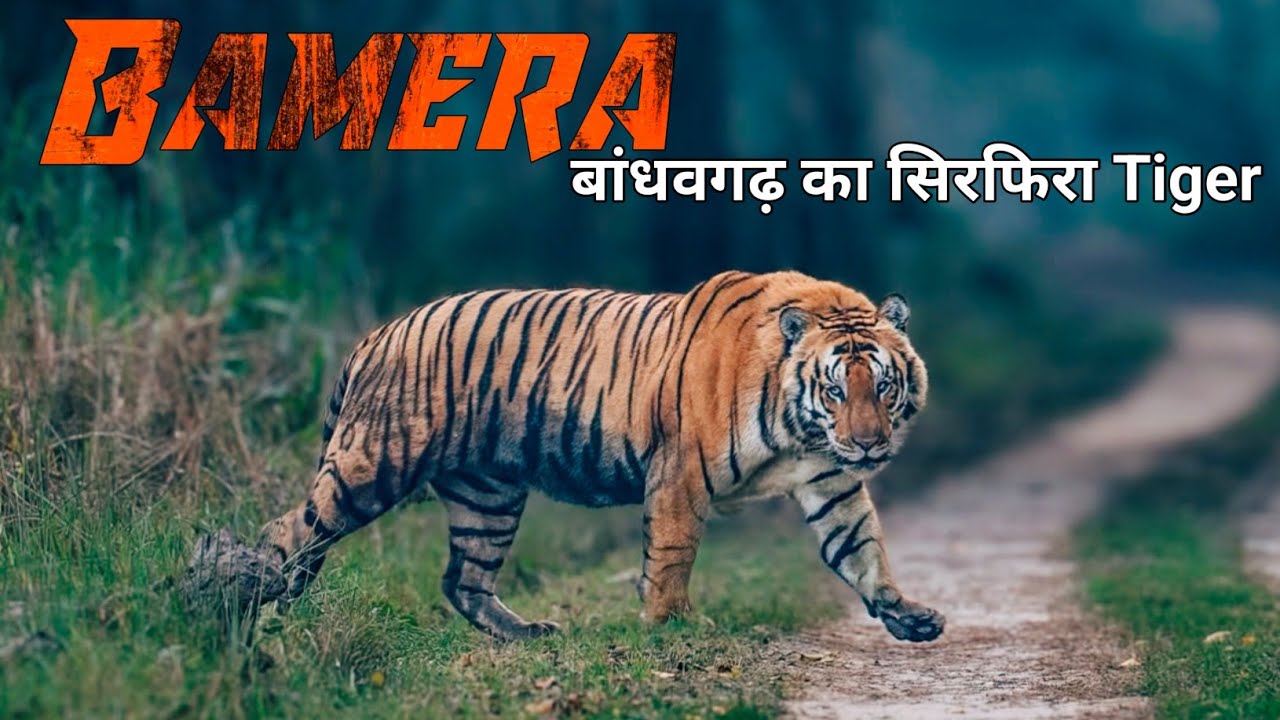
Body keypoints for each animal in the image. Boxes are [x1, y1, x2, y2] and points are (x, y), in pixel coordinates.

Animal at [253, 269, 943, 642]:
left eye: (883, 386)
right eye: (835, 389)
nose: (868, 443)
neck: (802, 428)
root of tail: (377, 334)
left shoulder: (832, 482)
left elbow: (862, 548)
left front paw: (907, 615)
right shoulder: (681, 471)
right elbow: (672, 554)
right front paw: (673, 624)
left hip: (489, 495)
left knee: (463, 578)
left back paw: (528, 633)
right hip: (373, 463)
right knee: (286, 531)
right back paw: (247, 607)